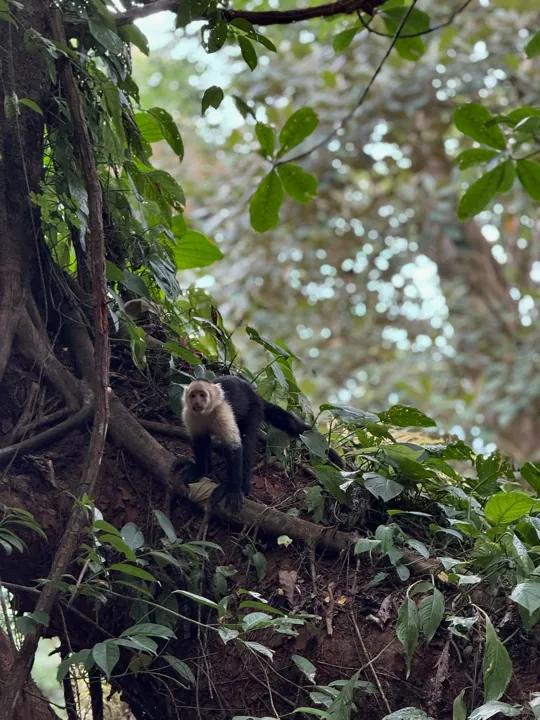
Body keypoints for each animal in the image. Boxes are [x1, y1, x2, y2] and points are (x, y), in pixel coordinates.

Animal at [171, 375, 344, 513]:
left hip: (254, 408)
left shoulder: (223, 412)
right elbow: (200, 441)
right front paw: (200, 470)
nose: (197, 402)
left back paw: (243, 486)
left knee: (247, 442)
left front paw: (233, 490)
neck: (207, 412)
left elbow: (235, 448)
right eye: (193, 395)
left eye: (202, 395)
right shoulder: (189, 414)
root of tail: (255, 393)